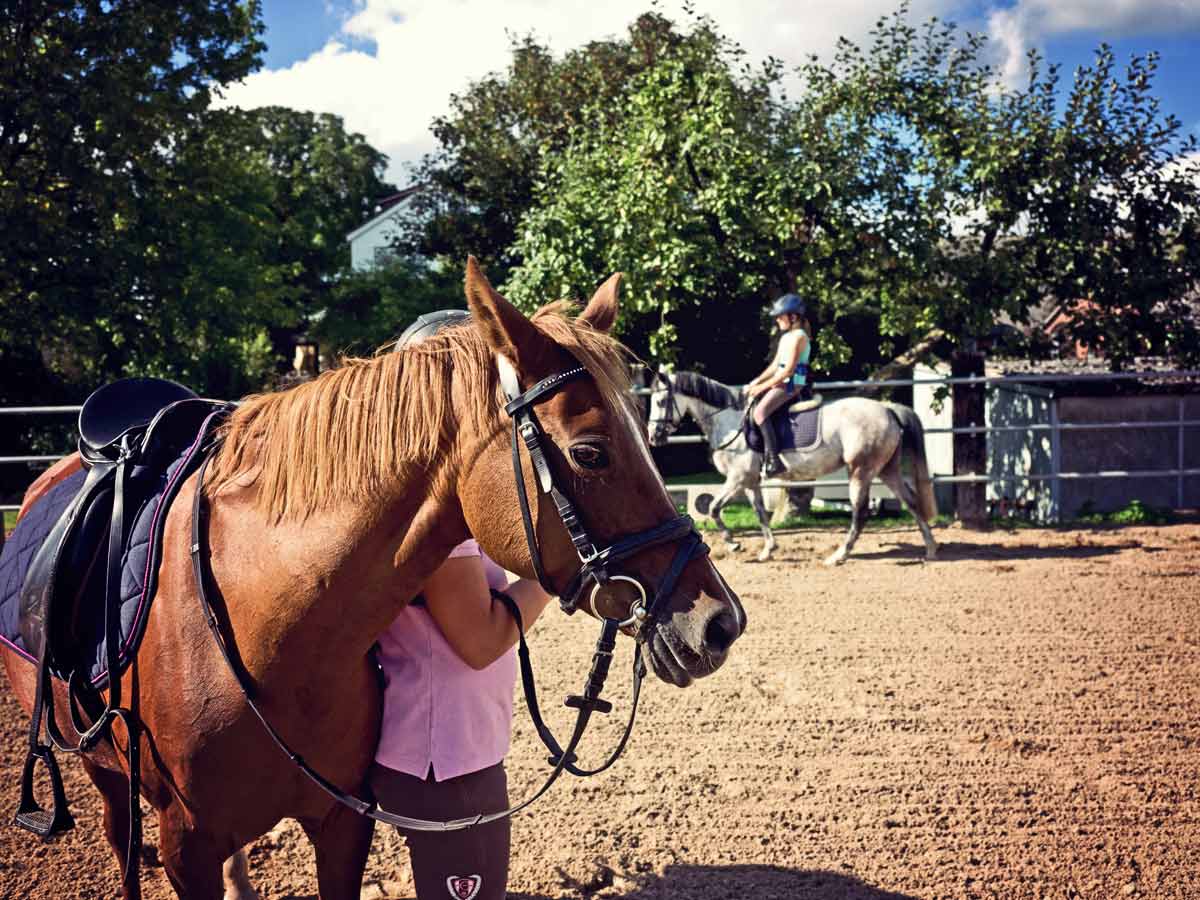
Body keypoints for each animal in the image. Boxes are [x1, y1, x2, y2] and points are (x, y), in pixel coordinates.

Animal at [2, 256, 739, 897]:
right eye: (590, 453)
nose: (722, 622)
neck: (264, 628)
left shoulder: (342, 823)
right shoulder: (187, 845)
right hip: (102, 772)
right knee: (116, 835)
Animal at [648, 369, 936, 566]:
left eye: (661, 402)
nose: (652, 436)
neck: (729, 422)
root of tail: (887, 409)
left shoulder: (738, 477)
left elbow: (714, 507)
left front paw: (733, 544)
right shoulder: (750, 481)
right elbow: (760, 513)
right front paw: (767, 550)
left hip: (860, 471)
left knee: (860, 512)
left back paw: (839, 556)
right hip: (887, 469)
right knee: (910, 501)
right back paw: (931, 548)